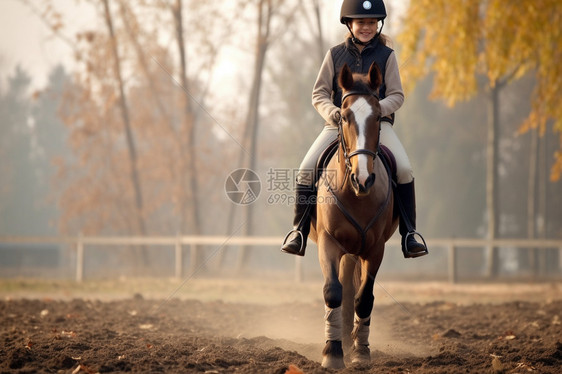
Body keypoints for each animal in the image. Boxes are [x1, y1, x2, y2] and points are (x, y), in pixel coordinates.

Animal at [306, 61, 398, 368]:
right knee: (343, 288)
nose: (364, 179)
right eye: (344, 116)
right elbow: (333, 291)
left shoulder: (375, 248)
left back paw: (351, 340)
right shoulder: (328, 242)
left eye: (378, 116)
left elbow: (363, 298)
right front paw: (332, 352)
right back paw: (342, 340)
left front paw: (361, 353)